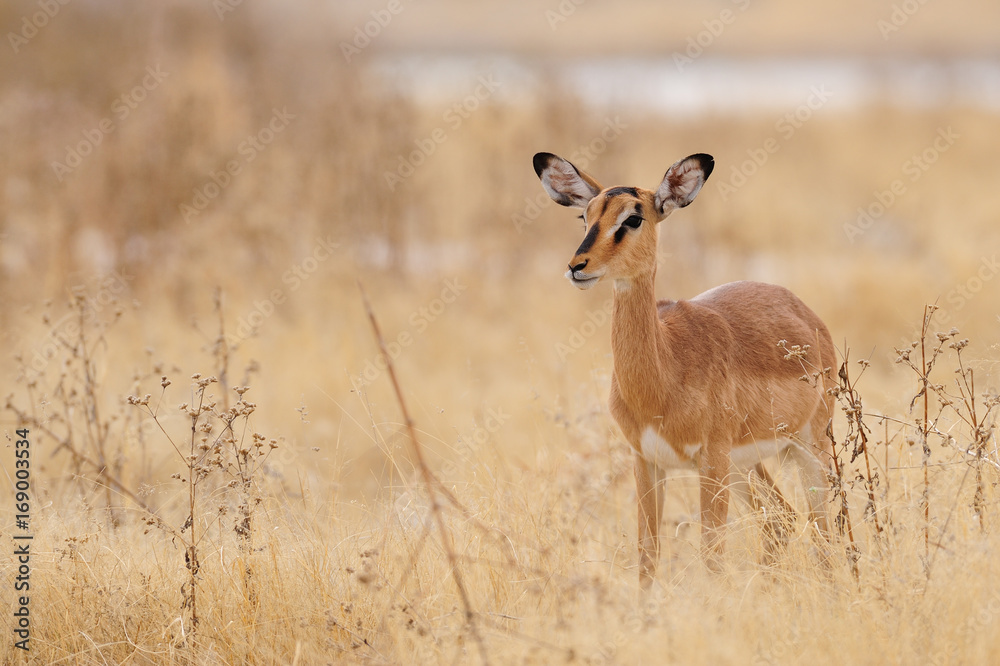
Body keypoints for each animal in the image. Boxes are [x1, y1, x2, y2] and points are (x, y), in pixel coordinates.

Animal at [533, 151, 835, 587]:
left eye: (633, 218)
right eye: (584, 216)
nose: (578, 266)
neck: (664, 374)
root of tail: (804, 312)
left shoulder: (710, 459)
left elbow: (711, 554)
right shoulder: (646, 461)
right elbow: (648, 555)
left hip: (808, 447)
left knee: (824, 530)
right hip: (745, 466)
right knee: (780, 520)